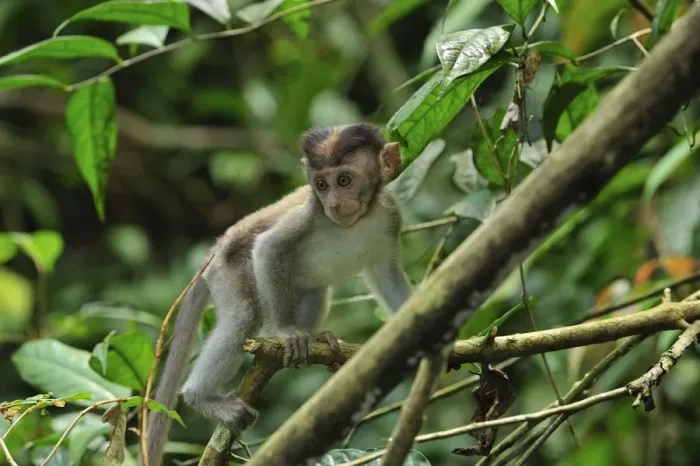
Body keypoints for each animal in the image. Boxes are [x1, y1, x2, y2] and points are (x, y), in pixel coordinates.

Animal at [142, 123, 413, 466]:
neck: (358, 221)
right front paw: (287, 333)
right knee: (244, 316)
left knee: (315, 292)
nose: (334, 204)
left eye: (344, 180)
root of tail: (216, 249)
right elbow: (269, 248)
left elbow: (387, 277)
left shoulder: (391, 216)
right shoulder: (310, 214)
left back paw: (316, 338)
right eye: (321, 184)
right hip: (229, 272)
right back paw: (201, 397)